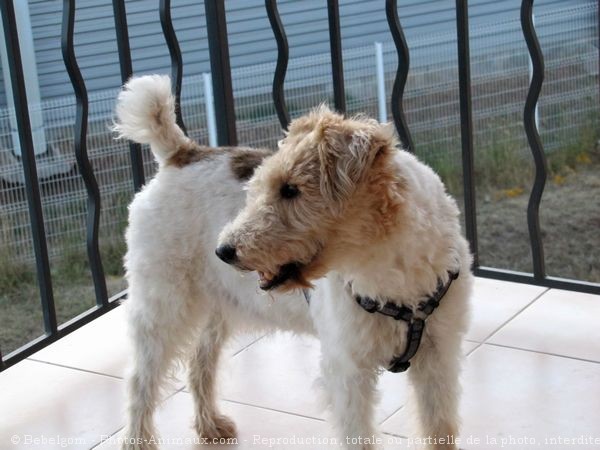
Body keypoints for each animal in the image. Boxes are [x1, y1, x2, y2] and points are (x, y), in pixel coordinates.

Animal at [111, 75, 468, 448]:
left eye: (290, 190)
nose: (224, 251)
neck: (394, 268)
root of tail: (180, 152)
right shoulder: (348, 368)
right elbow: (359, 435)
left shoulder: (439, 355)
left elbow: (440, 427)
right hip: (163, 305)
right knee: (139, 381)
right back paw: (138, 440)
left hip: (216, 306)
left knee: (199, 363)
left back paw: (210, 425)